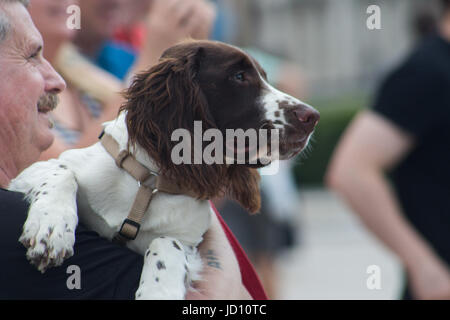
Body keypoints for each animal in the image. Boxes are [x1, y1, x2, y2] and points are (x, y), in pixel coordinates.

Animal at [8, 40, 318, 300]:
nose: (312, 116)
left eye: (264, 76)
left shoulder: (192, 244)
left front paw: (159, 290)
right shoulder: (29, 172)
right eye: (239, 76)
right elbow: (61, 173)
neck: (151, 183)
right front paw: (51, 228)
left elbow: (167, 243)